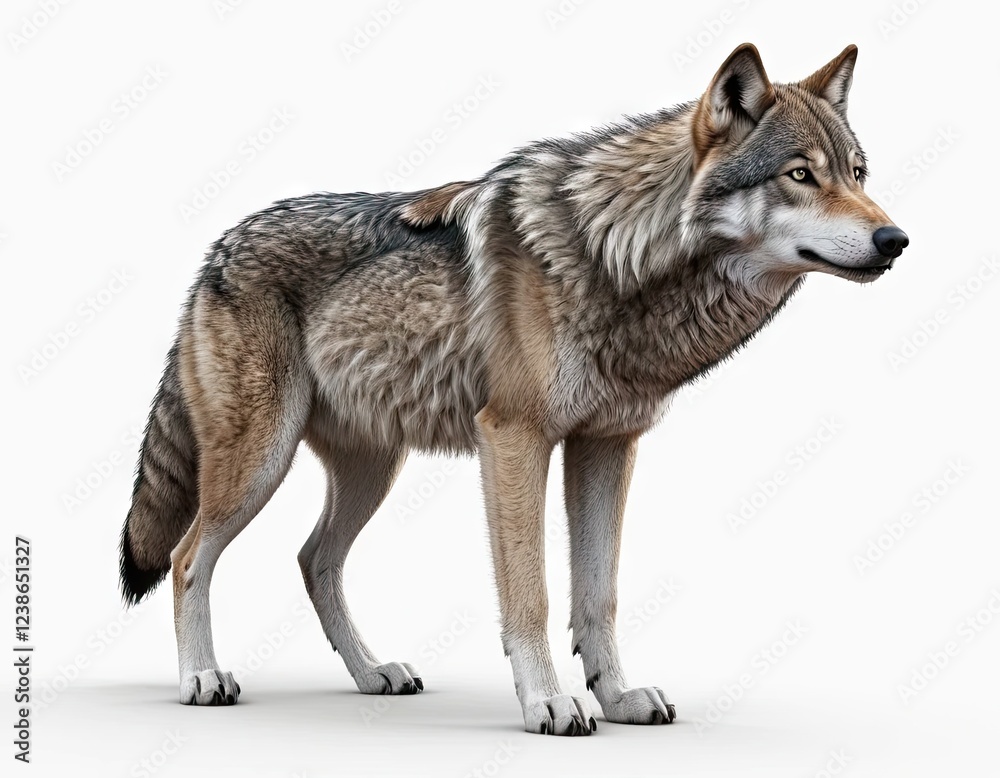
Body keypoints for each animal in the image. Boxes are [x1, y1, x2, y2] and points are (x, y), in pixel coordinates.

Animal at [119, 43, 907, 736]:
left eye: (859, 173)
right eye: (800, 174)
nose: (895, 240)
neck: (615, 256)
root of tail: (217, 249)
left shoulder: (607, 445)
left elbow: (598, 595)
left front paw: (617, 698)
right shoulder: (514, 438)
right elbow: (531, 595)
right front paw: (549, 705)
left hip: (372, 469)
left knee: (315, 561)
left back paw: (373, 674)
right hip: (260, 463)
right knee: (189, 559)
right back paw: (202, 679)